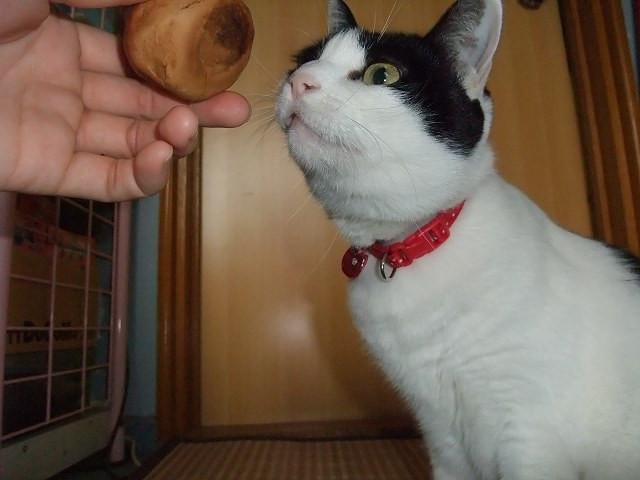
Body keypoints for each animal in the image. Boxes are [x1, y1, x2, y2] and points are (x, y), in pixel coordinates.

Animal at [276, 0, 640, 478]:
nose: (300, 80)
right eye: (303, 60)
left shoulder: (529, 432)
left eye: (381, 74)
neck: (406, 252)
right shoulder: (440, 432)